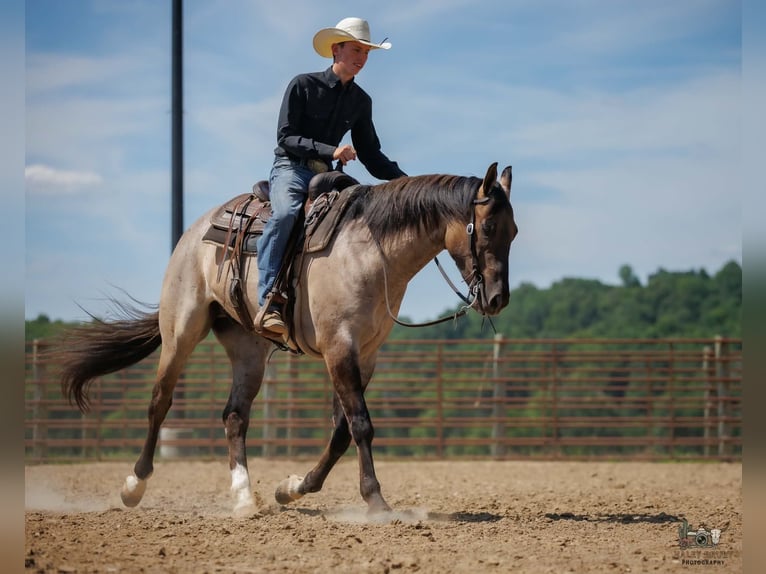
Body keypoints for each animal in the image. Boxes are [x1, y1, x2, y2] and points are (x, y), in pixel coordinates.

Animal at [55, 162, 518, 515]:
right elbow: (361, 425)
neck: (371, 248)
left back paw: (244, 497)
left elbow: (341, 432)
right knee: (159, 402)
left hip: (248, 350)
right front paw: (376, 501)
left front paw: (292, 487)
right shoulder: (339, 348)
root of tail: (195, 231)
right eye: (488, 225)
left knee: (235, 415)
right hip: (181, 331)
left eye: (513, 232)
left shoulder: (364, 355)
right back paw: (134, 485)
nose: (498, 299)